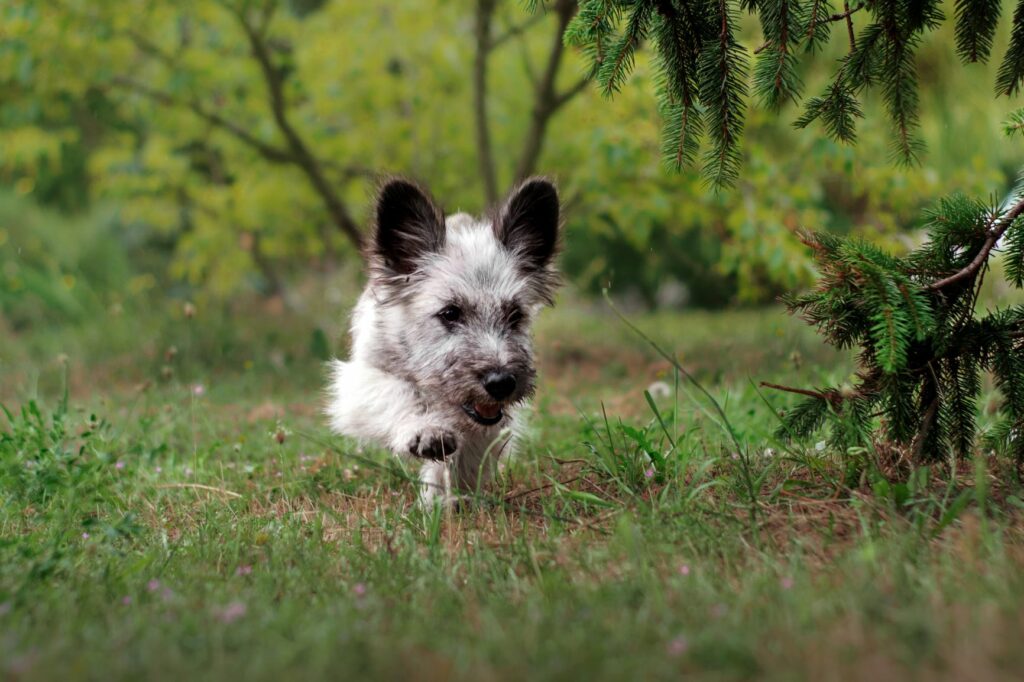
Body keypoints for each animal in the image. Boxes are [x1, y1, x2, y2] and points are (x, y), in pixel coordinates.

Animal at [325, 175, 561, 503]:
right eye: (450, 313)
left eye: (515, 315)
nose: (501, 383)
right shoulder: (360, 380)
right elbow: (396, 392)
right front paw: (426, 430)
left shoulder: (489, 421)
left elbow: (470, 449)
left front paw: (449, 497)